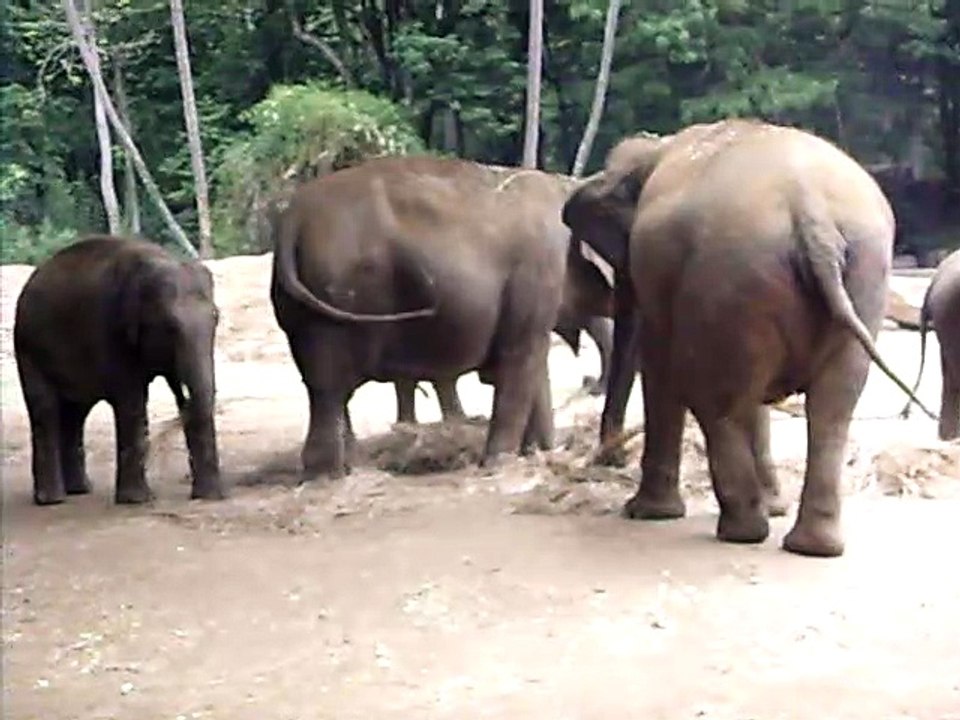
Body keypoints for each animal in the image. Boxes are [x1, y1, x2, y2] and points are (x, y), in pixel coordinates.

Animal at [13, 234, 224, 505]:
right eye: (170, 326)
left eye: (216, 318)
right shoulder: (111, 331)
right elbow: (131, 400)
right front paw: (137, 500)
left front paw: (208, 497)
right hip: (29, 347)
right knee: (45, 409)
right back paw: (52, 499)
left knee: (75, 413)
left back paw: (79, 490)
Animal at [270, 156, 580, 478]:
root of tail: (292, 219)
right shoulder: (537, 272)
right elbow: (521, 356)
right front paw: (503, 462)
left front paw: (539, 452)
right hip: (336, 293)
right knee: (329, 386)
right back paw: (330, 474)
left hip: (299, 307)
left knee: (319, 379)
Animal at [562, 118, 937, 558]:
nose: (610, 458)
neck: (658, 148)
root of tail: (810, 211)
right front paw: (774, 506)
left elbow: (659, 368)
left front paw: (646, 513)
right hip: (854, 277)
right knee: (829, 405)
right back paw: (810, 545)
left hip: (737, 276)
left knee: (718, 399)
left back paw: (742, 531)